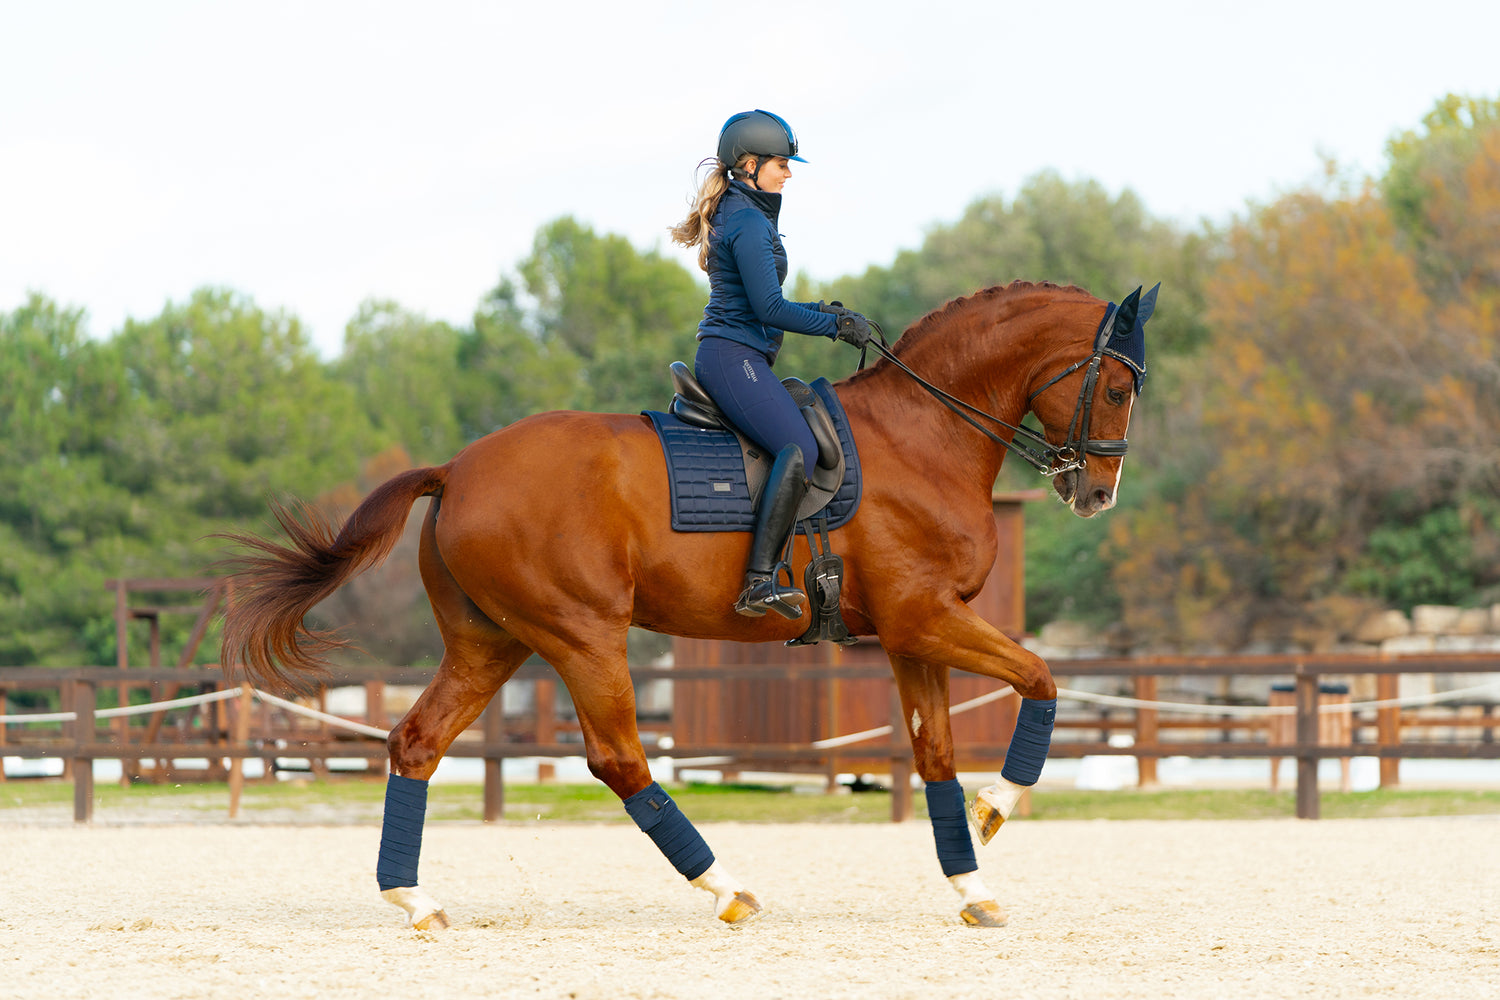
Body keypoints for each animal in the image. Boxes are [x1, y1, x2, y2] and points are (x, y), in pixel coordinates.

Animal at [225, 277, 1158, 929]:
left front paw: (972, 887)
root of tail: (456, 468)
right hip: (582, 636)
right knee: (620, 760)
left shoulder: (909, 637)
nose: (1096, 494)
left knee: (417, 744)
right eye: (1117, 389)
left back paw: (414, 901)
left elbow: (934, 757)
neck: (921, 435)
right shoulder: (925, 617)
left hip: (490, 643)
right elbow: (1040, 679)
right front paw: (995, 809)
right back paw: (726, 889)